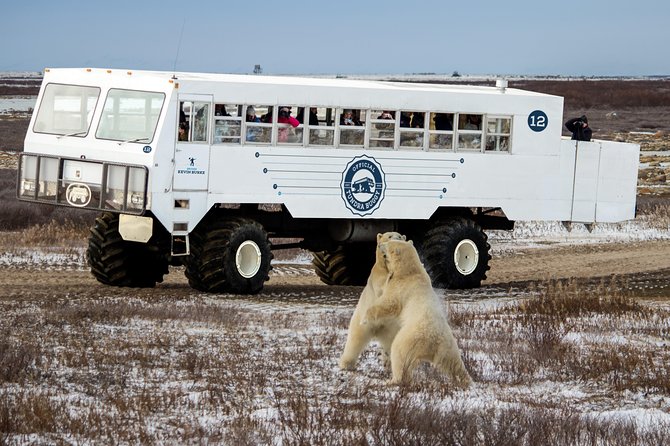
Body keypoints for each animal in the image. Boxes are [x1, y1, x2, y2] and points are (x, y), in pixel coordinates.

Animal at [339, 231, 406, 371]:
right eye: (389, 236)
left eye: (399, 236)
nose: (396, 241)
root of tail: (378, 330)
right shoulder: (377, 275)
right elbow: (382, 288)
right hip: (362, 321)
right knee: (355, 340)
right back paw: (346, 363)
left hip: (392, 328)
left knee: (390, 343)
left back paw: (389, 362)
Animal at [363, 239, 472, 387]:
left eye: (389, 243)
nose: (380, 245)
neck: (410, 271)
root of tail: (433, 340)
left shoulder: (401, 287)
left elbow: (389, 304)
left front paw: (364, 319)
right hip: (448, 346)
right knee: (453, 363)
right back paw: (466, 379)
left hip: (410, 338)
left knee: (399, 353)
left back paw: (392, 380)